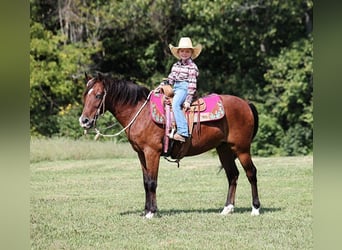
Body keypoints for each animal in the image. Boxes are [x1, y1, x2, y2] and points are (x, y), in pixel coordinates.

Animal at [79, 73, 260, 219]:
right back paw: (227, 209)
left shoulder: (152, 152)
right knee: (233, 175)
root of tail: (246, 103)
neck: (141, 113)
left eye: (98, 95)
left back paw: (255, 209)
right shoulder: (141, 154)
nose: (84, 120)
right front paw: (146, 210)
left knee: (251, 173)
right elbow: (145, 182)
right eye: (85, 95)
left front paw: (151, 212)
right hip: (224, 149)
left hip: (242, 148)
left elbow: (152, 182)